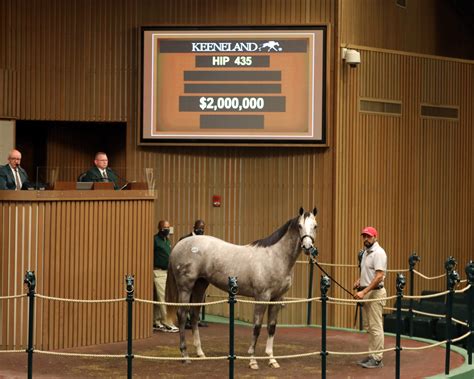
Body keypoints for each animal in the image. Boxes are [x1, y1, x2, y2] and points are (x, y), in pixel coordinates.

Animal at [167, 208, 318, 372]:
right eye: (299, 226)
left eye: (315, 226)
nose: (308, 247)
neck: (275, 257)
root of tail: (179, 245)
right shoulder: (262, 297)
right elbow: (257, 327)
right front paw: (253, 361)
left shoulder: (277, 299)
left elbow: (271, 328)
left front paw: (272, 360)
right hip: (186, 287)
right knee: (182, 315)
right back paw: (185, 355)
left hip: (200, 285)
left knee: (194, 315)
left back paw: (200, 353)